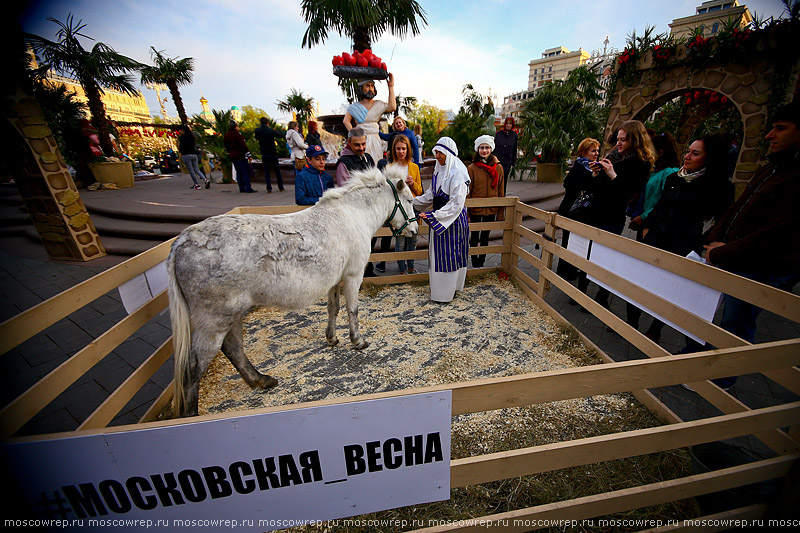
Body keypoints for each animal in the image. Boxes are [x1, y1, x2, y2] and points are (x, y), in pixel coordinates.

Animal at [169, 166, 418, 416]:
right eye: (408, 200)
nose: (415, 230)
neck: (353, 215)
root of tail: (181, 242)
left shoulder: (334, 281)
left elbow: (333, 309)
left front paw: (332, 338)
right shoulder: (352, 275)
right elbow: (352, 310)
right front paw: (357, 341)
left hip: (233, 314)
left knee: (233, 348)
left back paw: (260, 380)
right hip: (215, 319)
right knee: (195, 366)